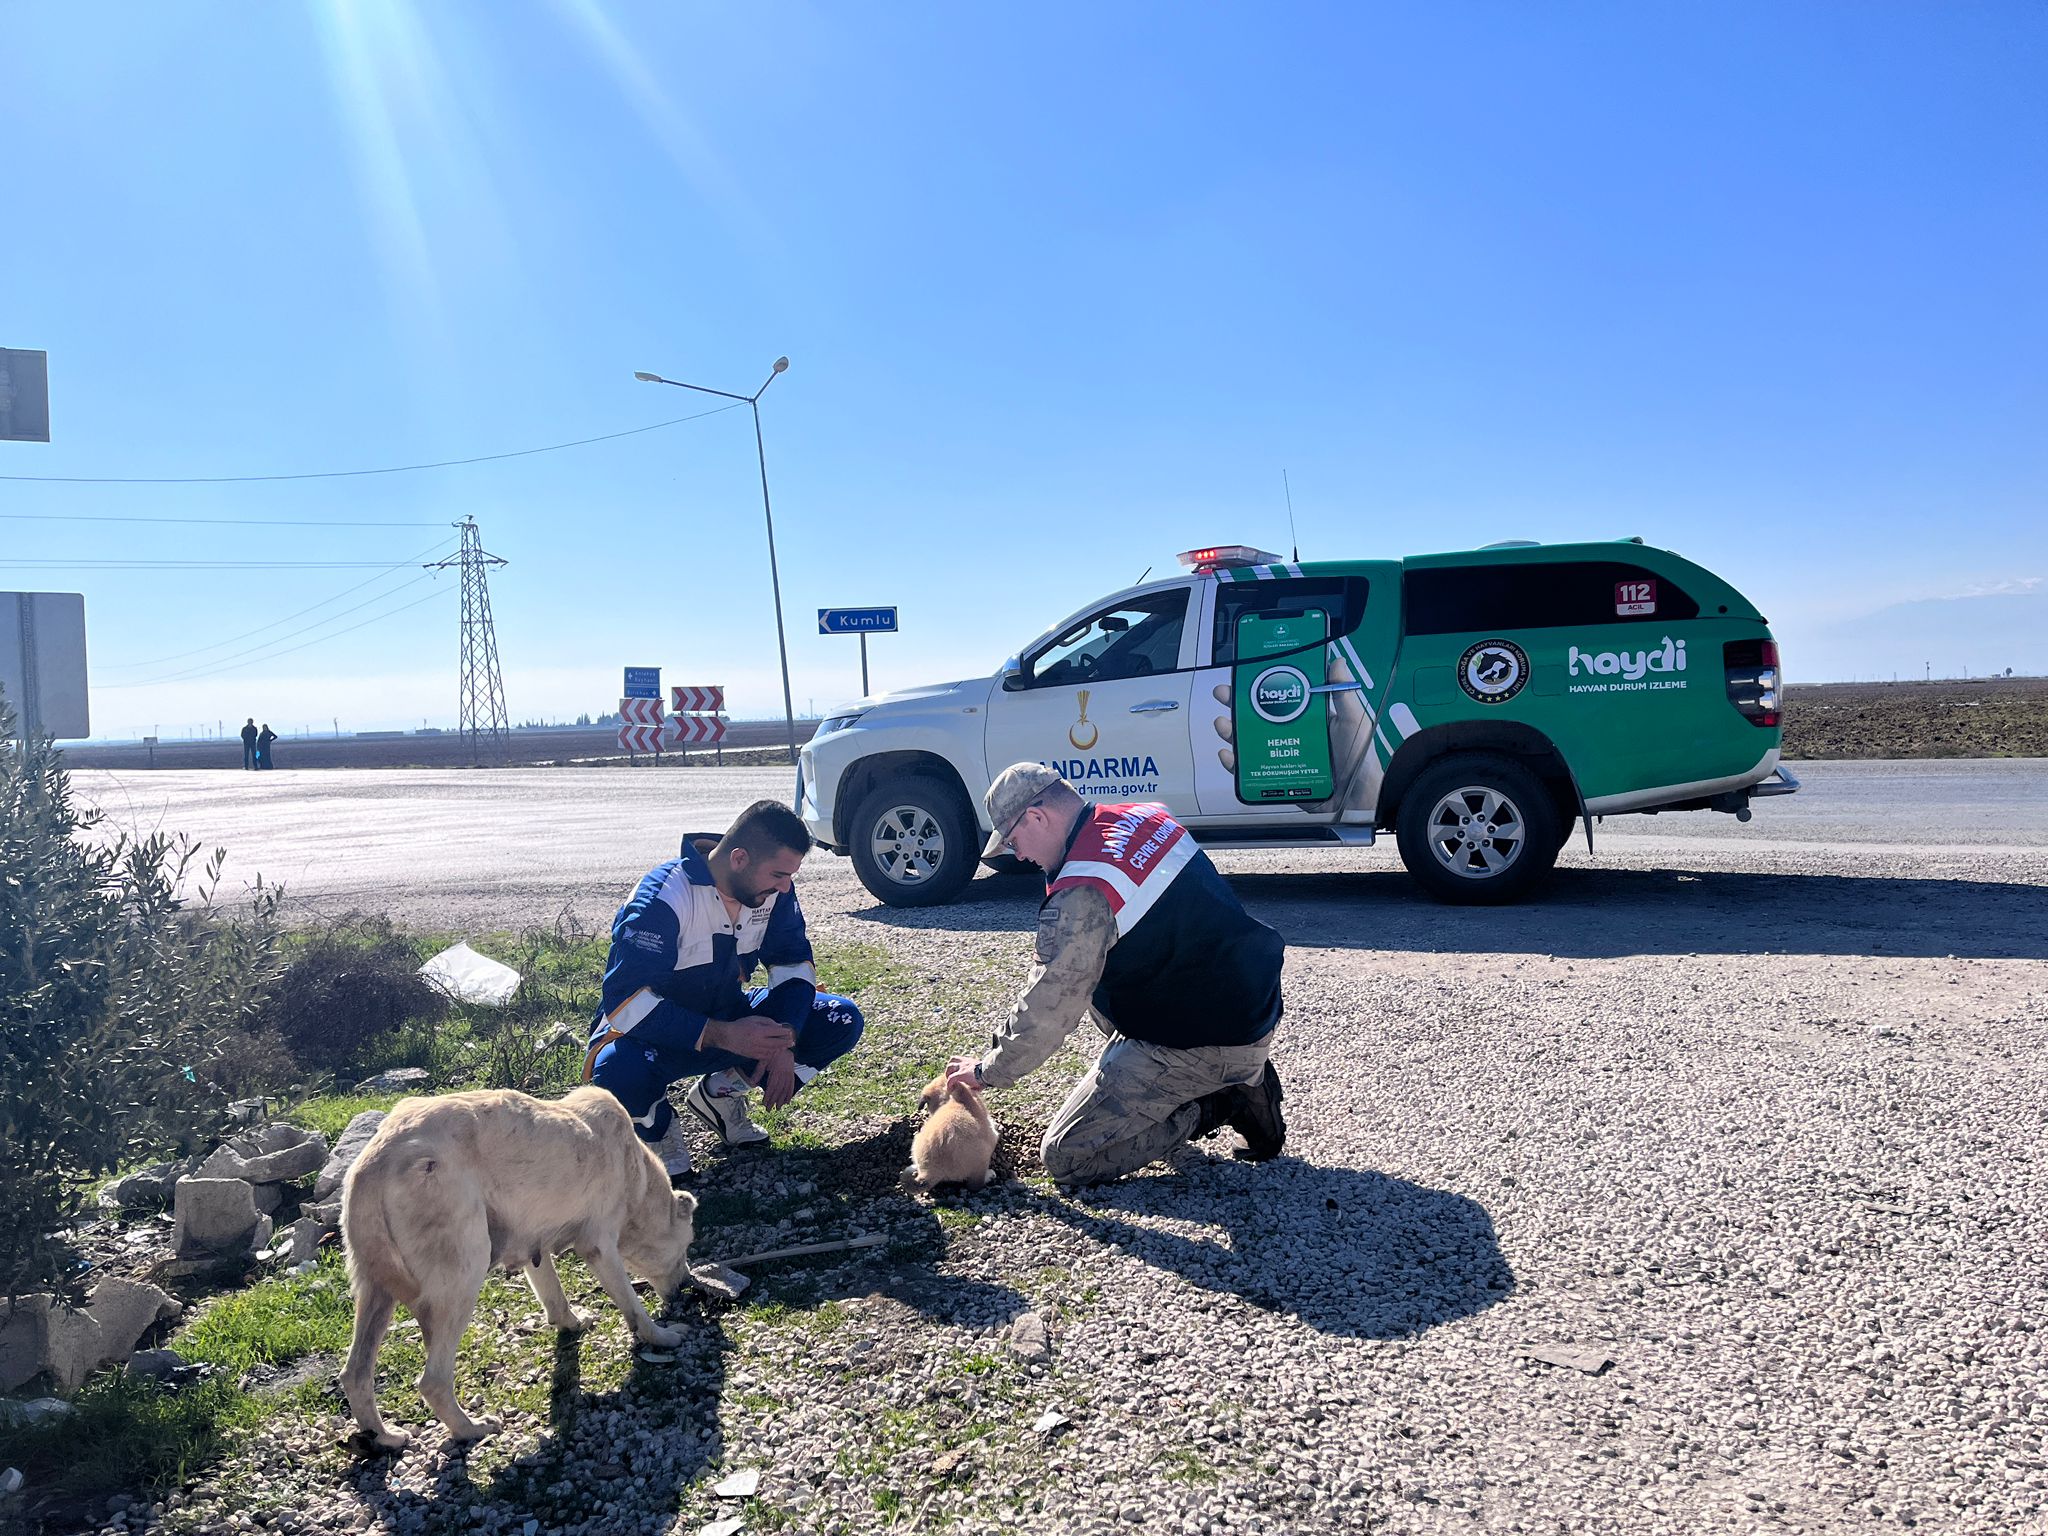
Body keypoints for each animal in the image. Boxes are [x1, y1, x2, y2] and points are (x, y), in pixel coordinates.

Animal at [339, 1089, 700, 1449]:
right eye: (685, 1250)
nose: (685, 1287)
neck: (637, 1176)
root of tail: (373, 1165)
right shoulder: (598, 1246)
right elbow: (635, 1309)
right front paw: (664, 1337)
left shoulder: (532, 1246)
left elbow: (554, 1296)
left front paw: (573, 1322)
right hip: (464, 1274)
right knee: (433, 1381)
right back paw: (471, 1429)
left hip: (376, 1292)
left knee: (355, 1374)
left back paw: (384, 1436)